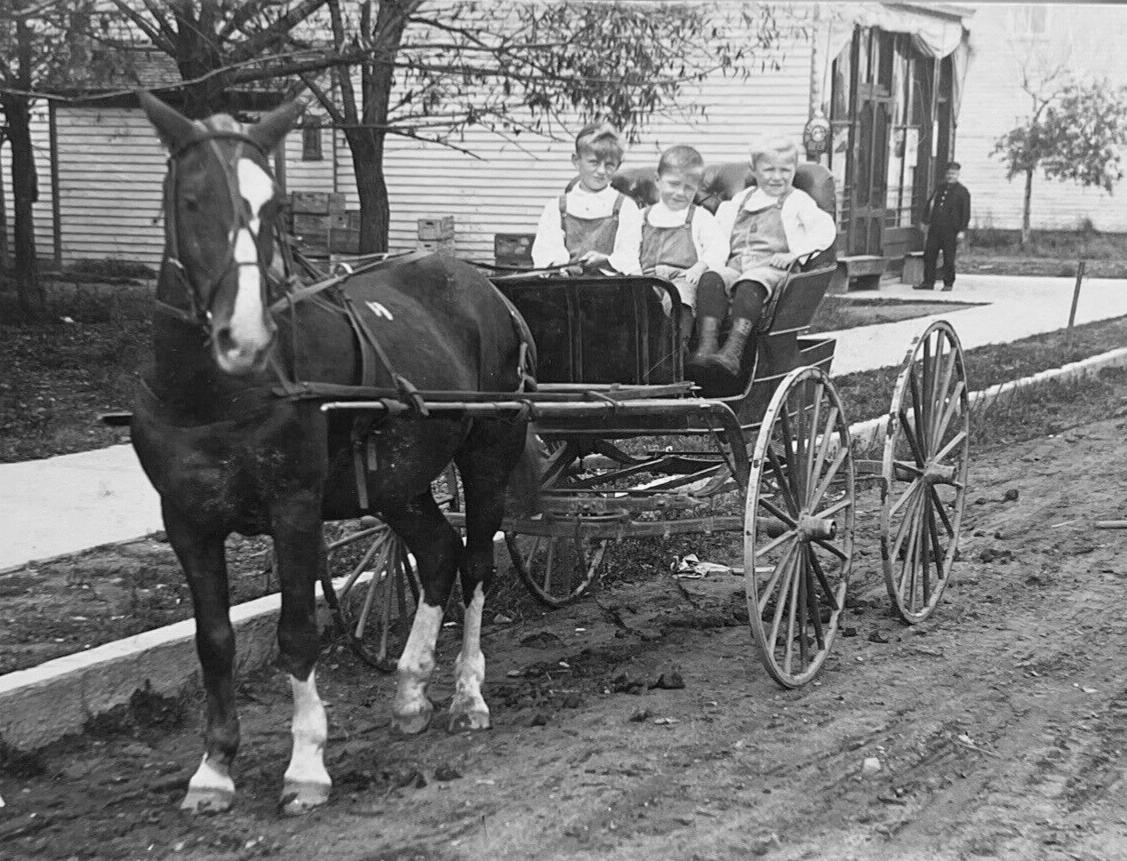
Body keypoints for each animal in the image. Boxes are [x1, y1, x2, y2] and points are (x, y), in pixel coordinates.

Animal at [129, 92, 538, 815]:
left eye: (274, 208)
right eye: (194, 199)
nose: (245, 333)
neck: (213, 393)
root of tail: (488, 289)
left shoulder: (293, 508)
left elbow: (296, 631)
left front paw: (305, 765)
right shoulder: (185, 517)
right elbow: (213, 640)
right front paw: (214, 767)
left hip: (489, 453)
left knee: (476, 565)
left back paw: (467, 694)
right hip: (400, 478)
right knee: (438, 553)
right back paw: (409, 691)